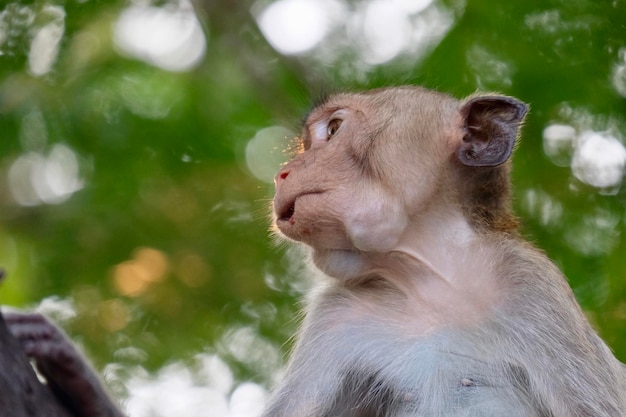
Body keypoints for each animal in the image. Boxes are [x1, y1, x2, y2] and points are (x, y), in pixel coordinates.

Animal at [4, 85, 624, 416]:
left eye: (334, 129)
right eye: (308, 140)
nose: (283, 173)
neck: (429, 283)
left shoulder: (531, 289)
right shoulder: (339, 314)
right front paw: (73, 373)